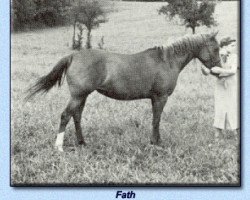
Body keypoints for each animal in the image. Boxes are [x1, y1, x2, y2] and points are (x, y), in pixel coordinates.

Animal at [25, 32, 221, 152]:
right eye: (216, 48)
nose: (218, 70)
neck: (167, 61)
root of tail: (73, 56)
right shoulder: (160, 98)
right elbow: (156, 120)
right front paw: (155, 143)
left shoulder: (155, 99)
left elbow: (155, 120)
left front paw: (156, 141)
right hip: (78, 96)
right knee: (66, 116)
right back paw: (59, 146)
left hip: (82, 97)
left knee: (77, 116)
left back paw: (82, 142)